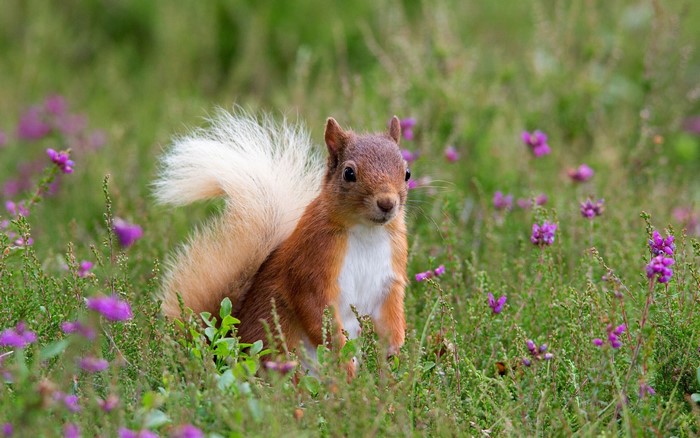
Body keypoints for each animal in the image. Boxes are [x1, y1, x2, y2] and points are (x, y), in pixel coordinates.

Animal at [154, 110, 409, 364]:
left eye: (407, 173)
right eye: (349, 173)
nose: (387, 203)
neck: (367, 232)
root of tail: (222, 346)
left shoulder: (390, 277)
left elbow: (391, 314)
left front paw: (395, 351)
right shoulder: (312, 267)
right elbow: (314, 309)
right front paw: (338, 350)